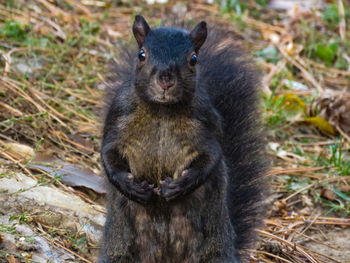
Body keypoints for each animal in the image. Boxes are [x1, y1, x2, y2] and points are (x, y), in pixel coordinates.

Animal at [98, 14, 268, 263]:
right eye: (142, 55)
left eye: (193, 59)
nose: (165, 80)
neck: (162, 110)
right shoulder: (118, 115)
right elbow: (108, 154)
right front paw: (131, 187)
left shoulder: (206, 122)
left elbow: (212, 158)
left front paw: (179, 187)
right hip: (120, 251)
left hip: (213, 253)